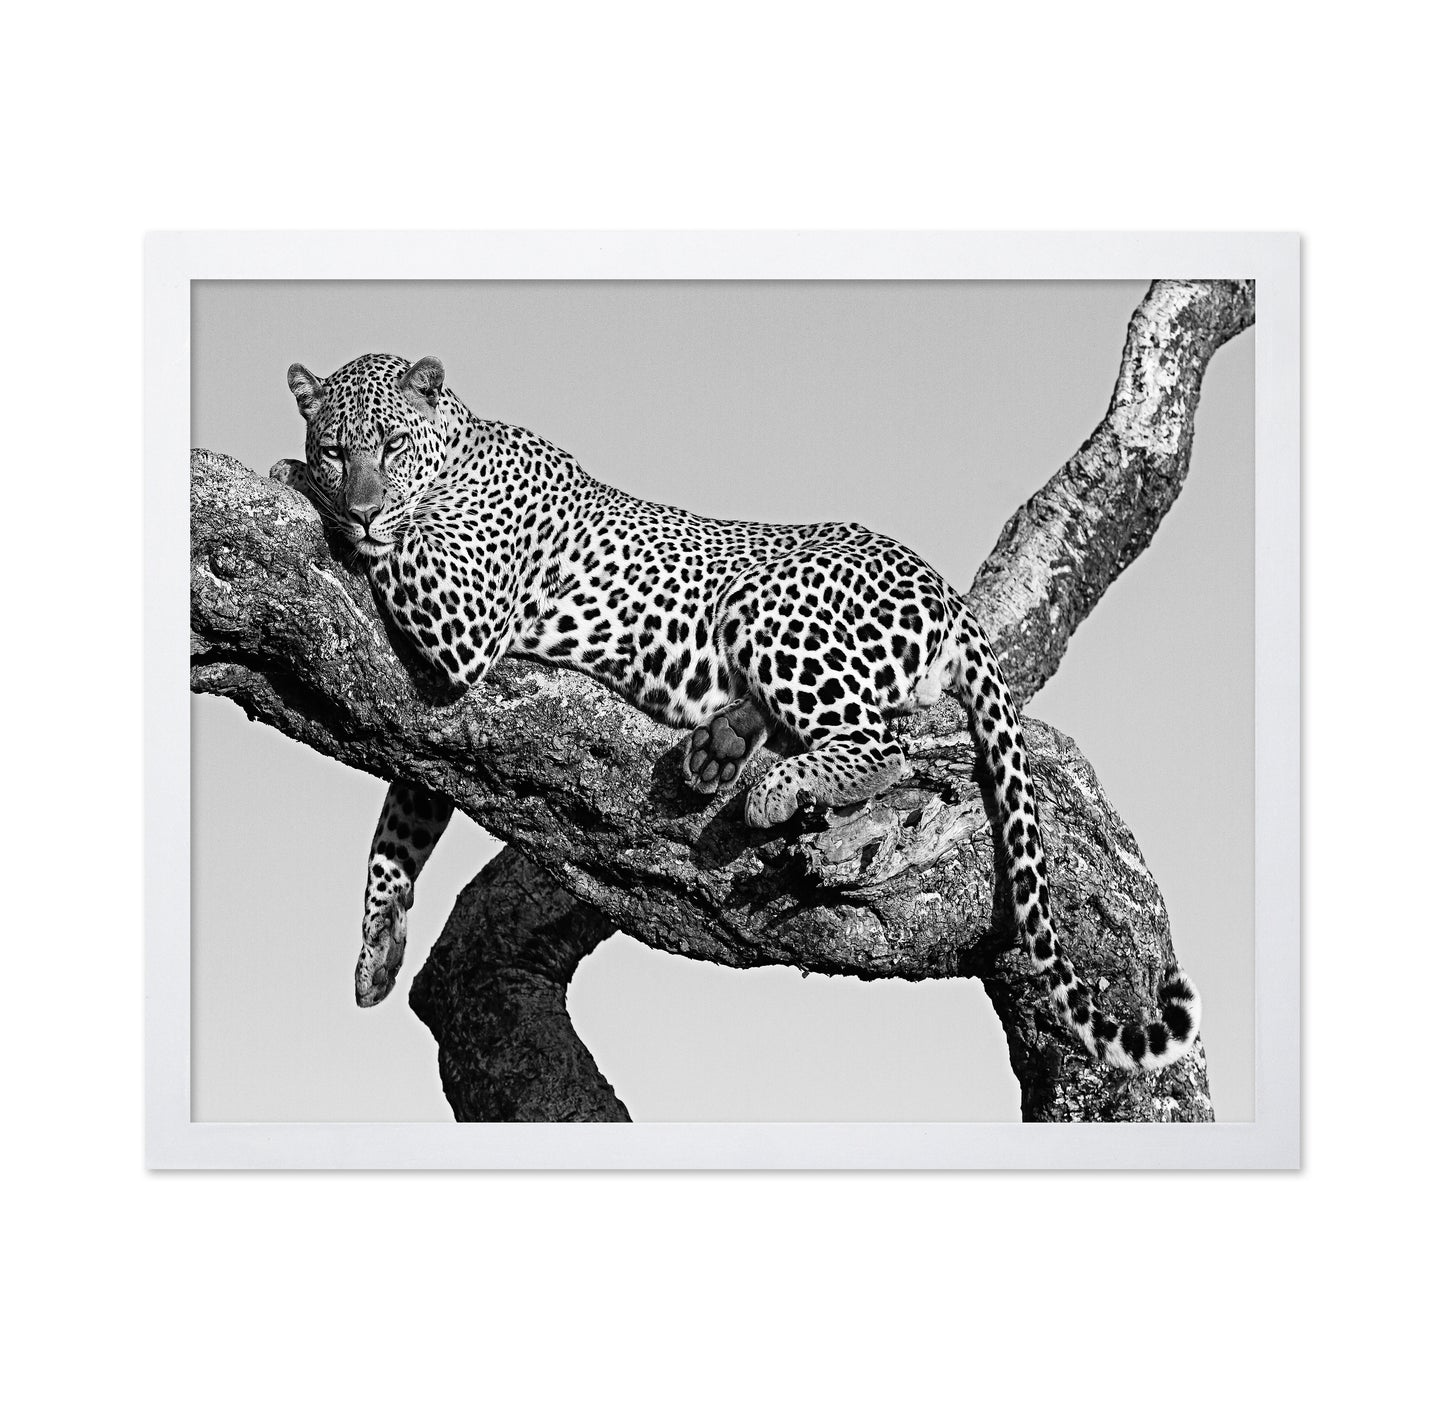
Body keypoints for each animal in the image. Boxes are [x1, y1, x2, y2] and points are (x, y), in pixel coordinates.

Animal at [273, 351, 1201, 1073]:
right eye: (336, 449)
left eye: (390, 446)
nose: (358, 505)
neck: (460, 448)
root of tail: (943, 589)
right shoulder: (431, 725)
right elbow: (401, 821)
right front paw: (377, 947)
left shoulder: (462, 617)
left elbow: (400, 553)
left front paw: (296, 484)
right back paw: (719, 746)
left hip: (768, 599)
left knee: (885, 743)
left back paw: (772, 785)